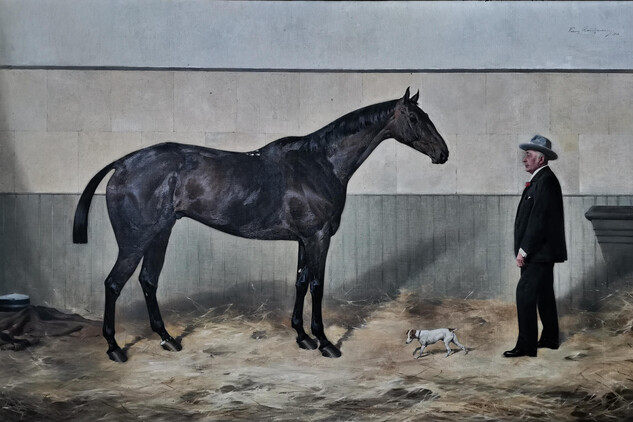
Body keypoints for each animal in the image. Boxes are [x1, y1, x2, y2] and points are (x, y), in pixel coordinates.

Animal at [73, 87, 450, 362]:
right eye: (414, 117)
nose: (443, 153)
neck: (319, 162)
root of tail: (122, 163)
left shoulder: (304, 239)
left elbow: (300, 282)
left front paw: (302, 337)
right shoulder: (318, 237)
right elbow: (316, 286)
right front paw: (325, 342)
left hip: (160, 234)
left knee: (148, 281)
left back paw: (167, 339)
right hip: (136, 240)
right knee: (113, 284)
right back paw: (114, 348)